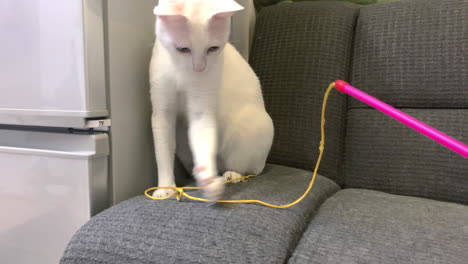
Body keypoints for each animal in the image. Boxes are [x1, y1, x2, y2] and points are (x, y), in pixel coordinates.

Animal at [150, 0, 274, 201]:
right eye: (183, 49)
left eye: (213, 48)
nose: (199, 68)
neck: (181, 72)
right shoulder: (162, 112)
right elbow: (163, 152)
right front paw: (166, 187)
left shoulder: (202, 110)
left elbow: (202, 135)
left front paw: (209, 181)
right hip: (182, 139)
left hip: (251, 126)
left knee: (250, 169)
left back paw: (231, 174)